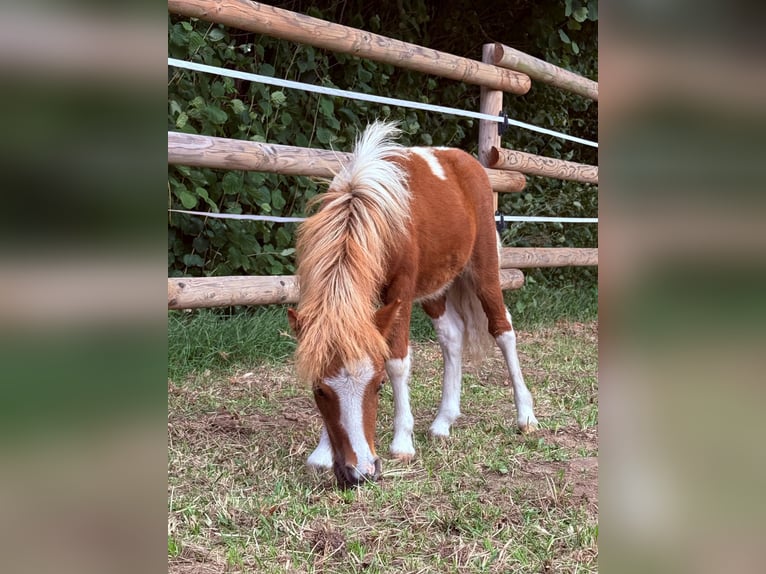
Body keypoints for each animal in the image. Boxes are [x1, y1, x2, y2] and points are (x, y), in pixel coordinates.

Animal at [287, 121, 538, 488]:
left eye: (378, 386)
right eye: (319, 390)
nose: (360, 472)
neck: (361, 206)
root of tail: (465, 161)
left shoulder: (401, 291)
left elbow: (397, 360)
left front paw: (402, 443)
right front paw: (321, 452)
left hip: (484, 270)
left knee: (502, 330)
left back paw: (526, 416)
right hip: (436, 287)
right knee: (452, 336)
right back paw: (443, 421)